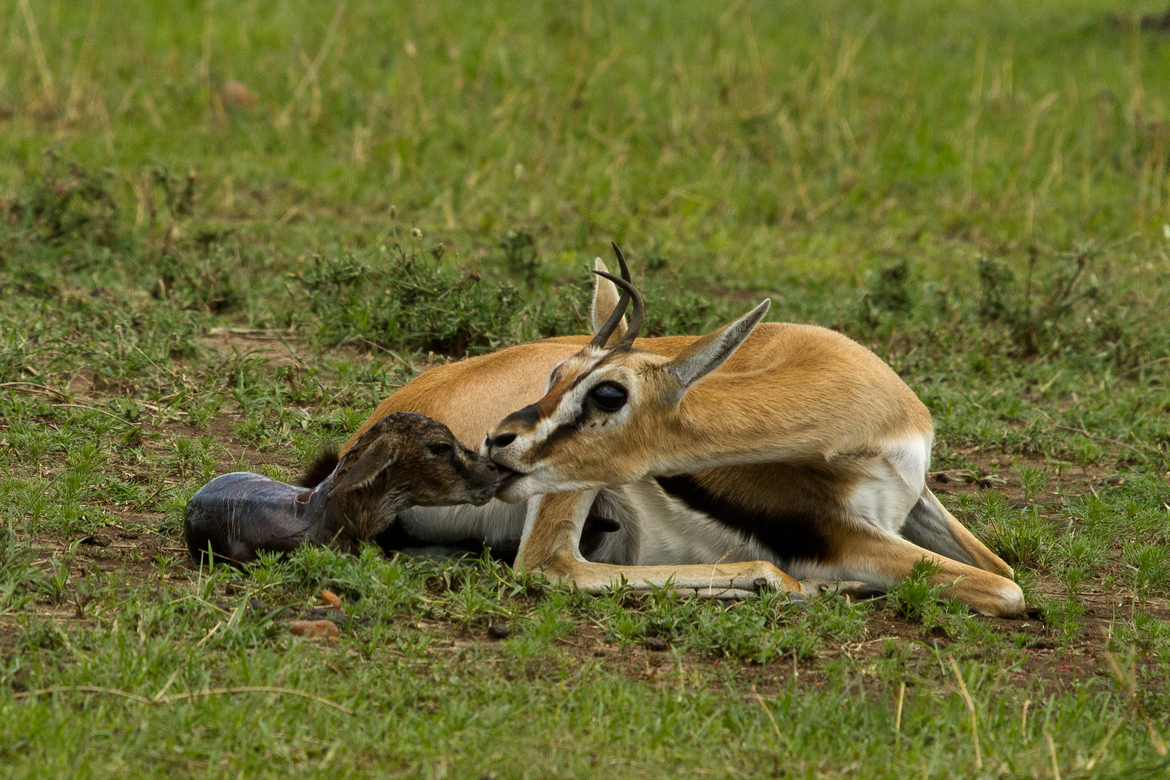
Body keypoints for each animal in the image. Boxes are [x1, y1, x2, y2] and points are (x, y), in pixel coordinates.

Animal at [344, 247, 1025, 616]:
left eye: (605, 390)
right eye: (556, 376)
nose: (493, 443)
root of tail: (371, 435)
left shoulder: (916, 498)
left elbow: (1000, 564)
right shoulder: (840, 533)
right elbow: (1007, 587)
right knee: (549, 565)